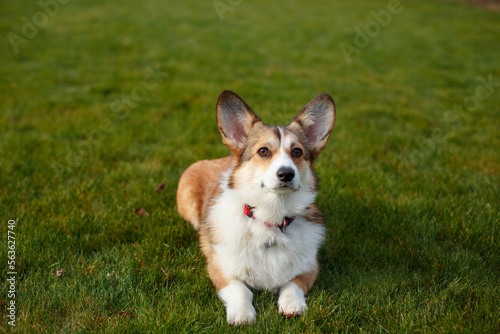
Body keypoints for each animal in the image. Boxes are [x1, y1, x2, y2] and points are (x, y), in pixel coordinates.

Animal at [176, 90, 336, 324]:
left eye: (297, 152)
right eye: (263, 151)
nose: (286, 174)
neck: (271, 217)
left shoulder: (310, 267)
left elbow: (292, 285)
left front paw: (292, 305)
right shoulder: (220, 269)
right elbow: (240, 290)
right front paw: (242, 314)